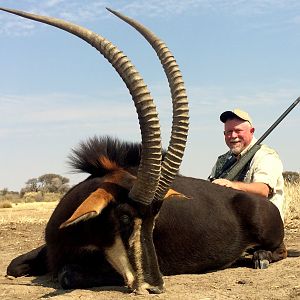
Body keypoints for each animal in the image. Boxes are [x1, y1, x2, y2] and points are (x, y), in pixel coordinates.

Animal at [1, 7, 288, 296]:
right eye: (125, 216)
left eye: (155, 218)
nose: (154, 285)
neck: (74, 232)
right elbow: (12, 265)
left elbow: (67, 274)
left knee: (280, 251)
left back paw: (258, 256)